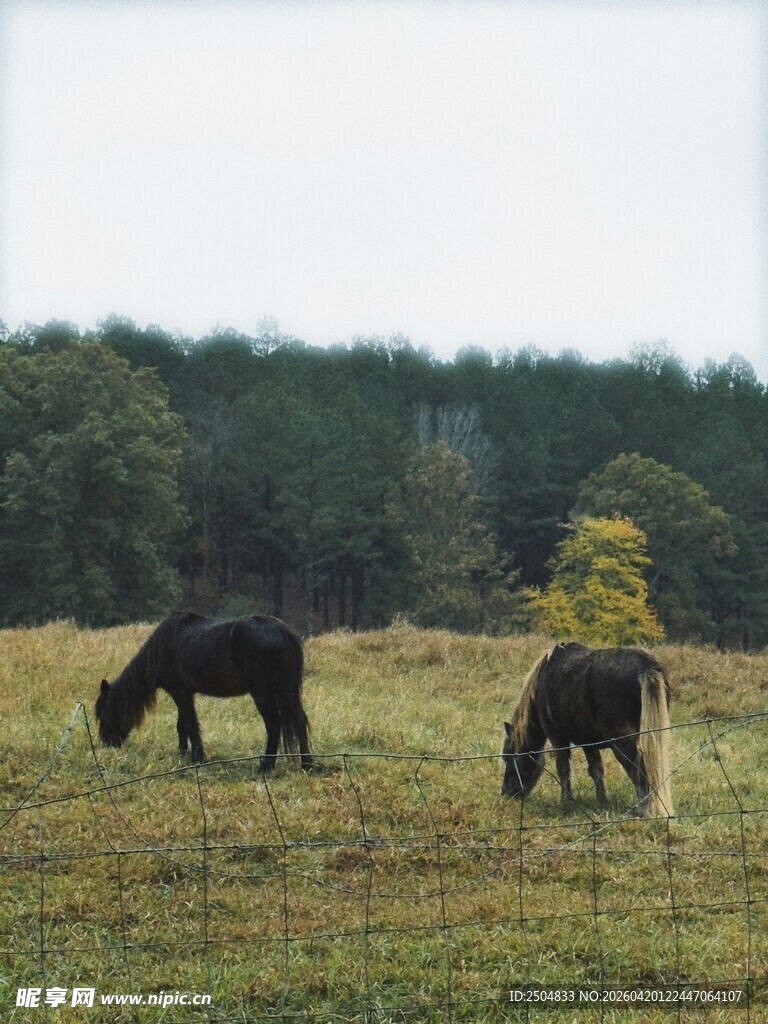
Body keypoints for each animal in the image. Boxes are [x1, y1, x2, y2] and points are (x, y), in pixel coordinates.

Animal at [95, 612, 312, 772]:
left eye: (103, 714)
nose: (106, 743)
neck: (164, 645)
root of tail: (285, 633)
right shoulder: (186, 693)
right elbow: (182, 725)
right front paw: (183, 753)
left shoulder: (180, 693)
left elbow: (190, 724)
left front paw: (197, 757)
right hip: (288, 691)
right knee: (299, 722)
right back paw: (307, 765)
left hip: (263, 692)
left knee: (274, 724)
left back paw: (266, 765)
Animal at [501, 642, 673, 817]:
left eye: (508, 756)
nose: (506, 792)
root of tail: (646, 668)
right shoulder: (588, 741)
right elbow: (596, 770)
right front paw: (601, 801)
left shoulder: (557, 738)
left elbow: (563, 769)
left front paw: (566, 801)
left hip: (622, 741)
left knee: (638, 770)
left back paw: (642, 809)